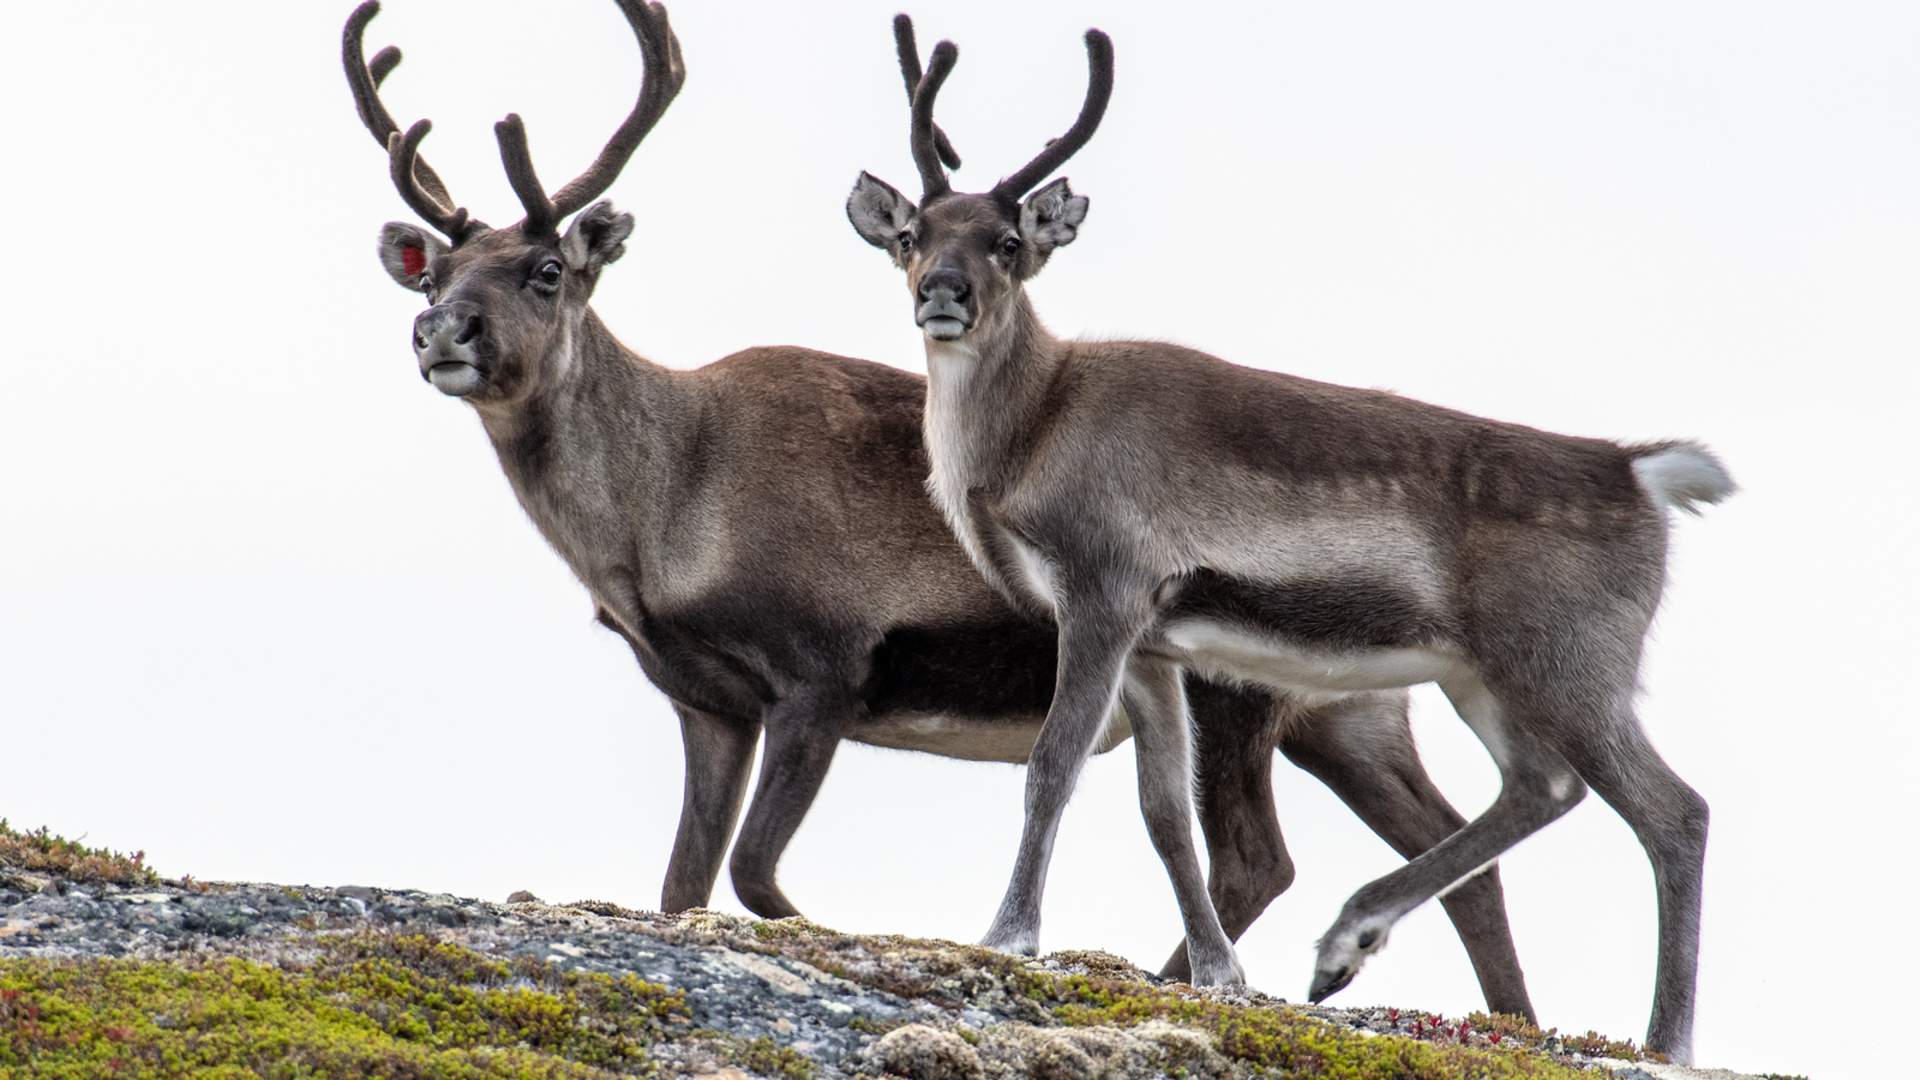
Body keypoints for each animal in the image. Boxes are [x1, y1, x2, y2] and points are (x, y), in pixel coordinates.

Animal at [342, 0, 1542, 1019]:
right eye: (435, 270)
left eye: (546, 269)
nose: (439, 333)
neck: (661, 516)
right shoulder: (705, 700)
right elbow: (681, 889)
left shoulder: (822, 670)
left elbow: (755, 875)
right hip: (1348, 712)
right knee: (1454, 846)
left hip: (1243, 693)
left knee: (1264, 856)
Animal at [846, 20, 1734, 1063]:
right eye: (913, 234)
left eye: (1009, 241)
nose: (941, 293)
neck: (1029, 431)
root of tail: (1640, 471)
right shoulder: (1155, 641)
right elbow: (1163, 812)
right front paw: (1220, 973)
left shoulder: (1102, 591)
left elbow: (1054, 764)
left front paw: (1009, 933)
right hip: (1484, 675)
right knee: (1543, 788)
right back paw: (1348, 940)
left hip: (1568, 662)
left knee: (1674, 811)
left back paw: (1667, 1041)